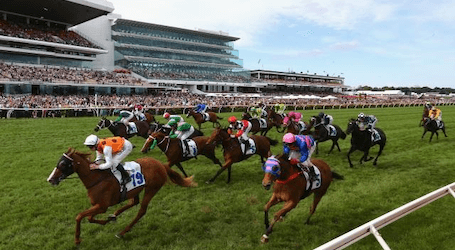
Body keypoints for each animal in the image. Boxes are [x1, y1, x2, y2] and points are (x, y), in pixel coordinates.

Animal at [47, 147, 197, 245]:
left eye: (63, 163)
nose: (50, 179)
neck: (96, 179)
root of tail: (160, 164)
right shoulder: (97, 205)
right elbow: (89, 218)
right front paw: (107, 220)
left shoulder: (102, 206)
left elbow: (79, 216)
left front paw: (77, 239)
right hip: (135, 190)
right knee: (133, 202)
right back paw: (114, 215)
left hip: (152, 189)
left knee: (141, 210)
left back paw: (122, 232)